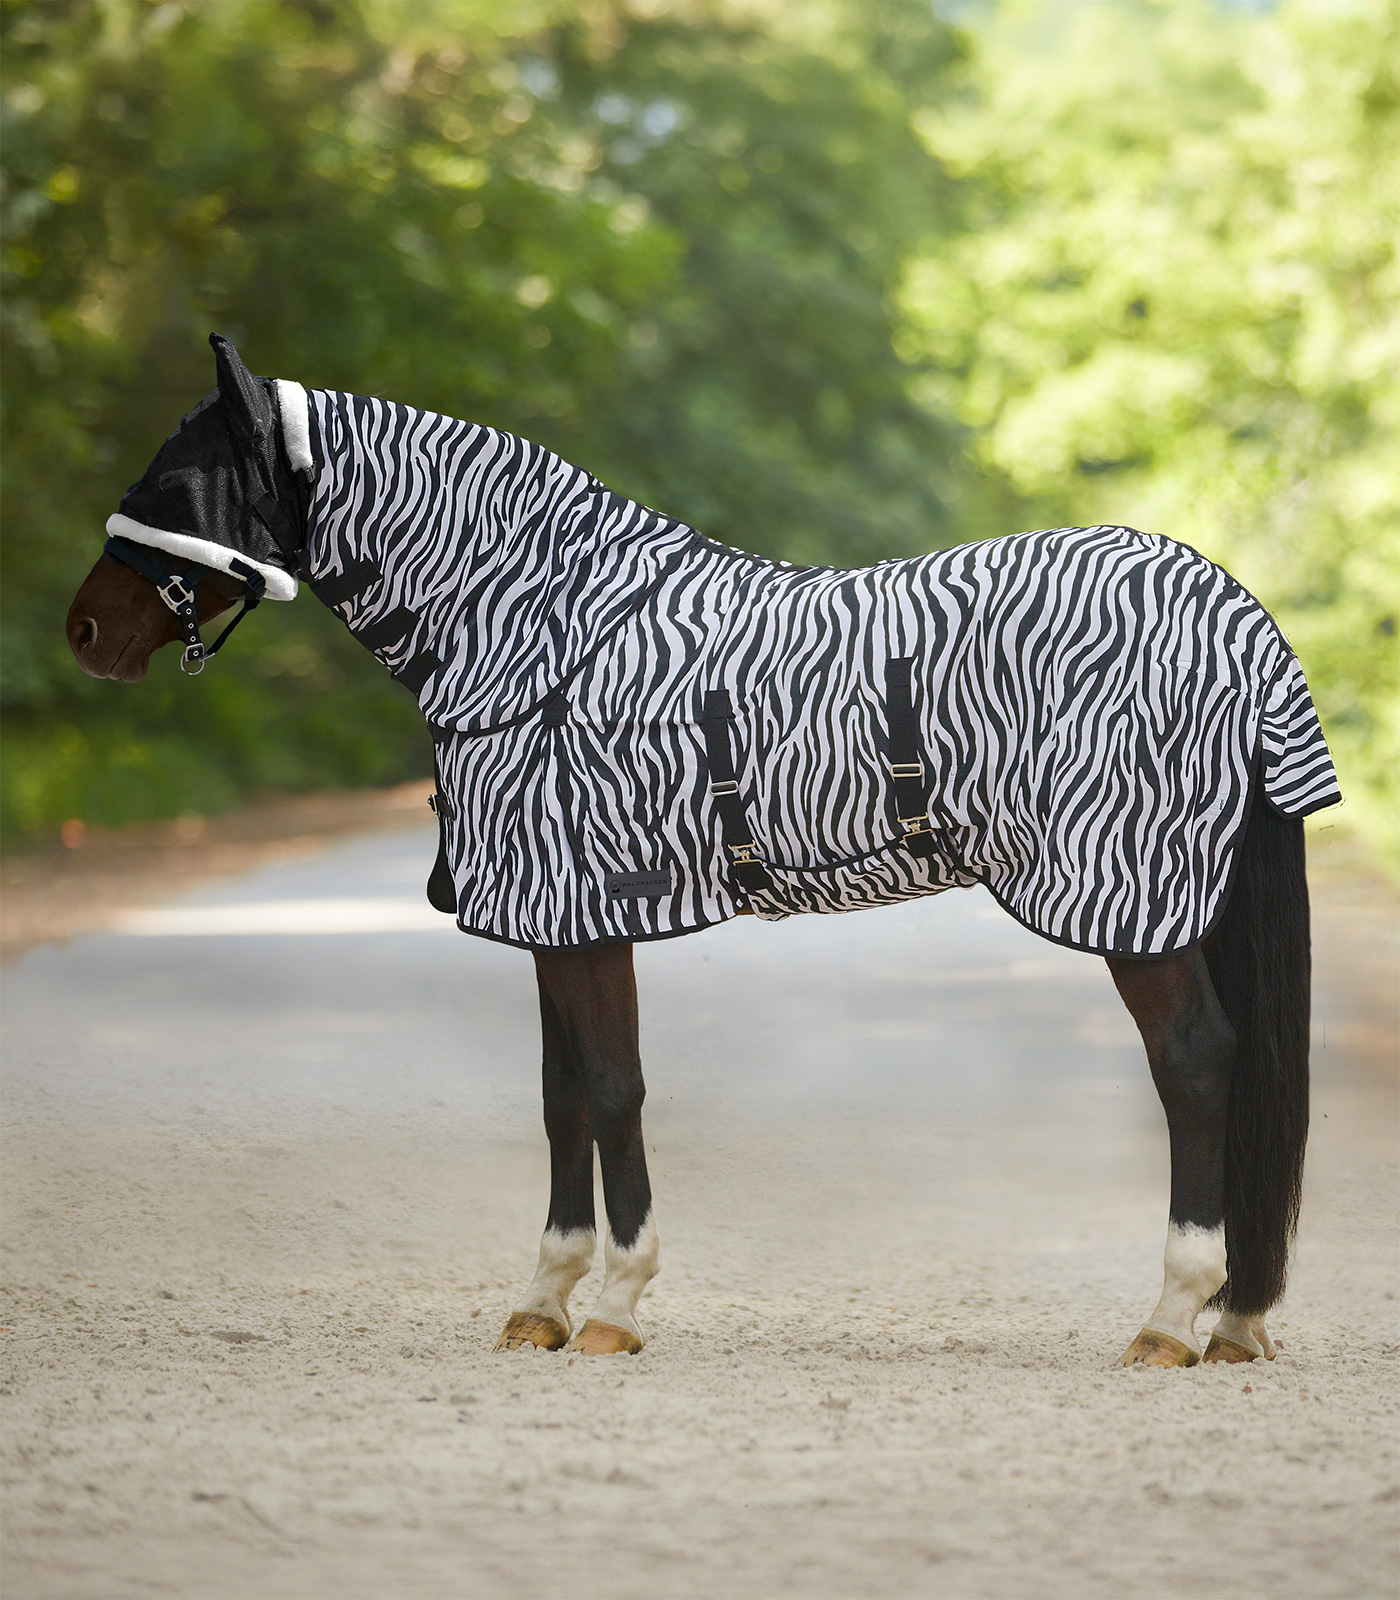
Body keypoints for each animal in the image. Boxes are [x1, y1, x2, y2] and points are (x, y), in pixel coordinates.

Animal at [62, 331, 1337, 1369]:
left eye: (175, 484)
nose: (80, 633)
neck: (545, 636)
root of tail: (1234, 613)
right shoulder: (553, 914)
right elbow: (561, 1096)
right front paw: (542, 1301)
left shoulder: (584, 910)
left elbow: (612, 1089)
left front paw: (616, 1306)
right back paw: (1233, 1318)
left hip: (1136, 901)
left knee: (1197, 1065)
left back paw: (1170, 1317)